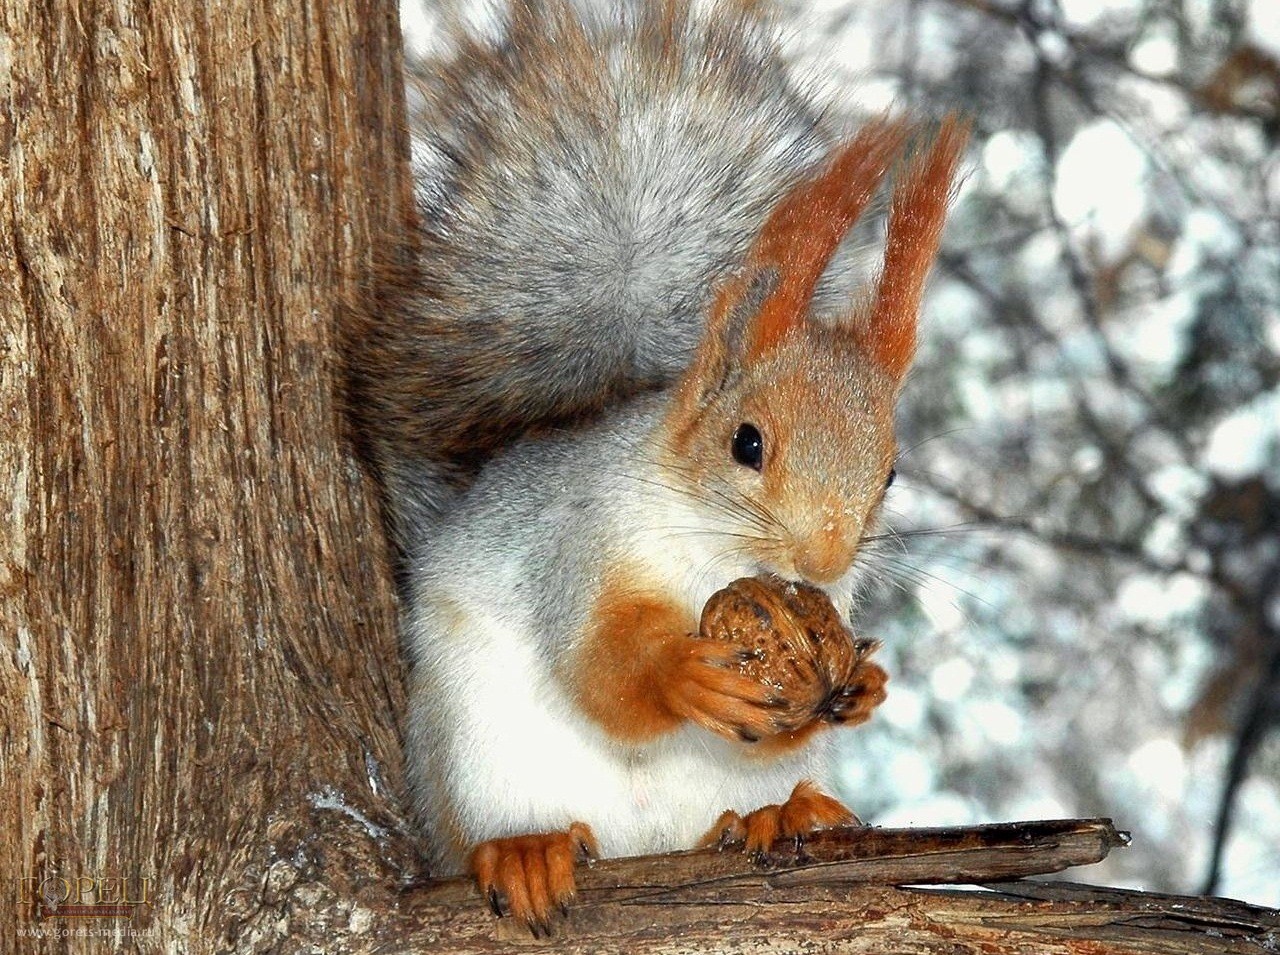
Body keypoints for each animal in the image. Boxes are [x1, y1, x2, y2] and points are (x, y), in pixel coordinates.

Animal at [340, 0, 962, 931]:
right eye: (747, 442)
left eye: (890, 473)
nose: (821, 559)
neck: (710, 546)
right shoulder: (580, 544)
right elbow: (599, 666)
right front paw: (682, 671)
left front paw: (867, 682)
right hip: (477, 750)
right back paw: (526, 849)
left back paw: (784, 812)